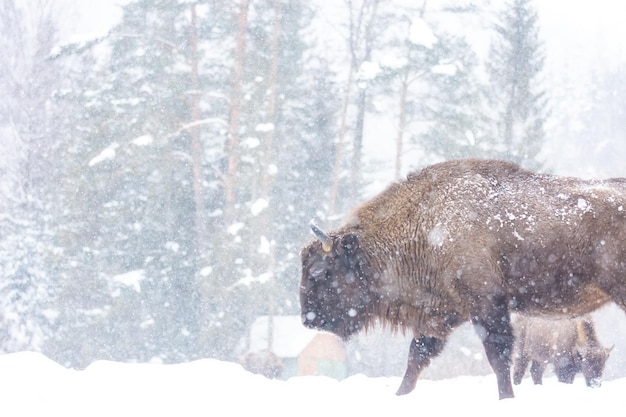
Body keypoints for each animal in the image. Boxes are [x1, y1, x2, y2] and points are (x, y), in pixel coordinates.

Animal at [298, 158, 624, 398]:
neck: (427, 223)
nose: (307, 319)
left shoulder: (488, 306)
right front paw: (400, 396)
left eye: (320, 271)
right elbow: (416, 358)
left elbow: (498, 357)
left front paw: (506, 399)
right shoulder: (442, 313)